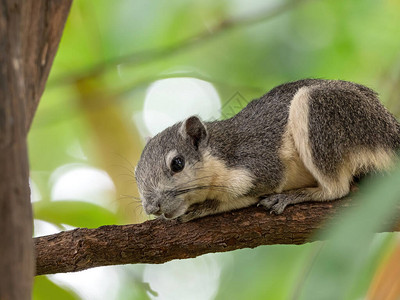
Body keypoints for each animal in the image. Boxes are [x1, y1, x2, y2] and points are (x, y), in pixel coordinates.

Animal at [134, 78, 400, 221]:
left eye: (177, 163)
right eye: (136, 176)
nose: (151, 208)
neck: (221, 155)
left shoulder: (259, 166)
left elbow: (242, 195)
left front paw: (202, 208)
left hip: (322, 112)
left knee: (336, 189)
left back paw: (295, 196)